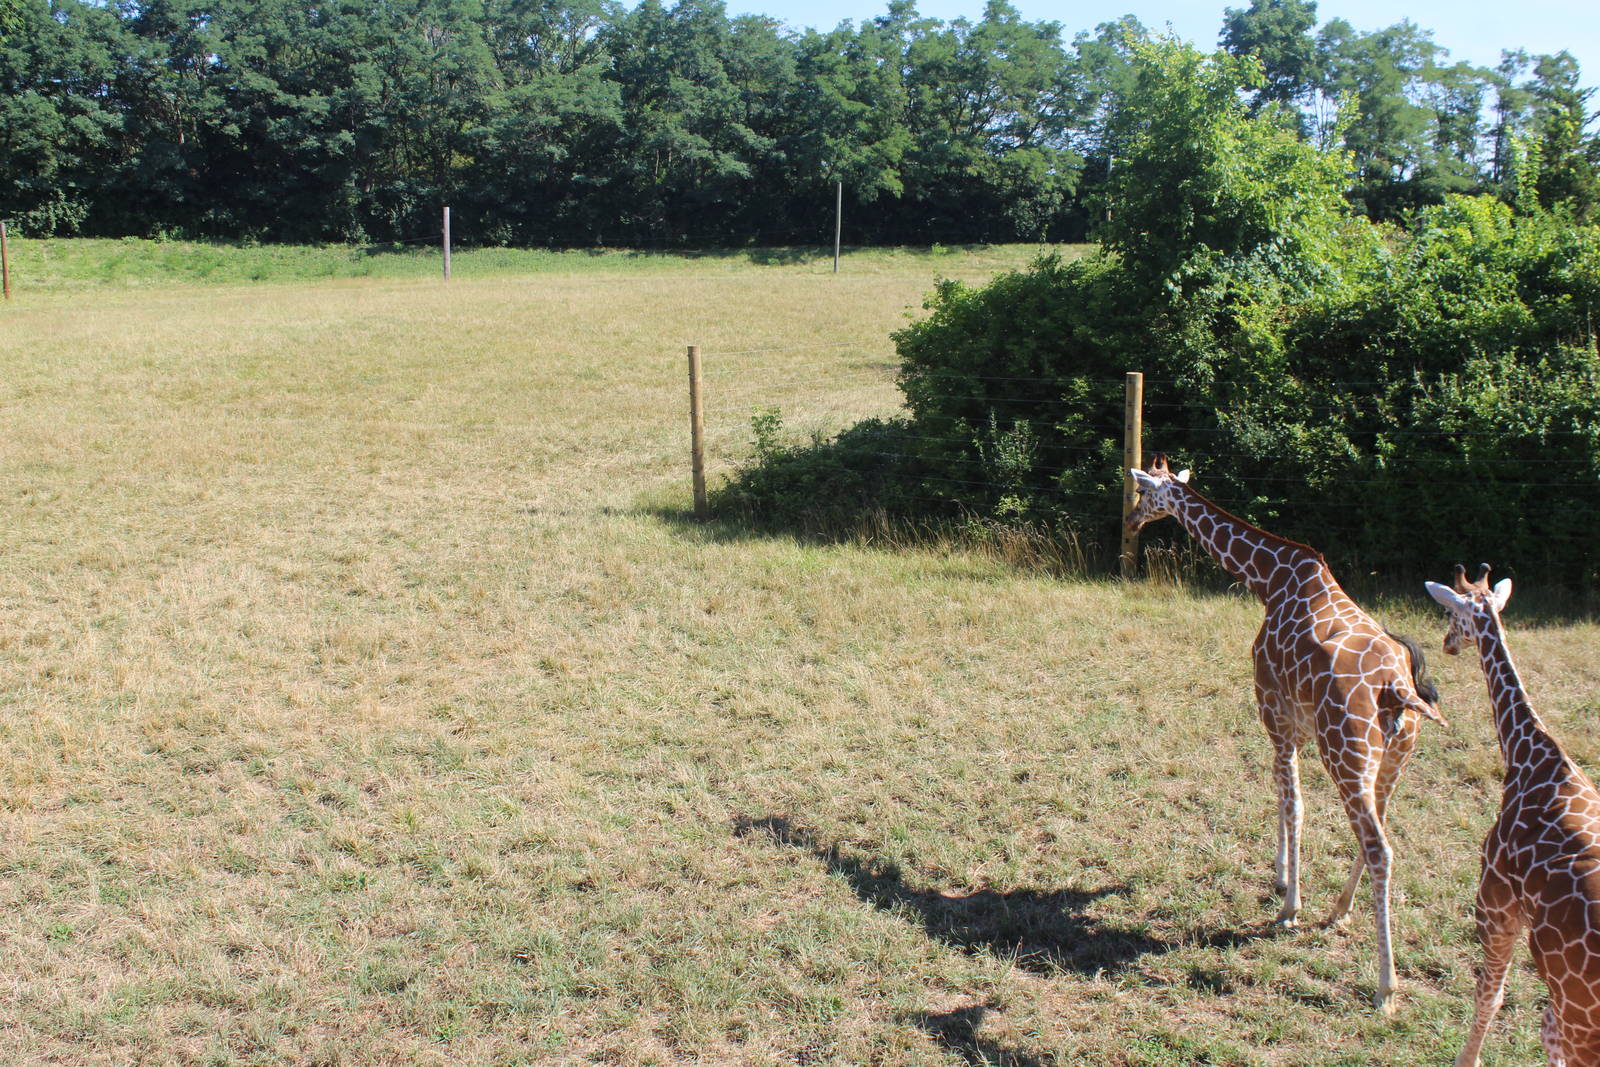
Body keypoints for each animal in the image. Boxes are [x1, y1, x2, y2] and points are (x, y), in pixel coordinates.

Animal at [1126, 454, 1445, 1013]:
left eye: (1145, 491)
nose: (1131, 520)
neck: (1269, 581)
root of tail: (1399, 689)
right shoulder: (1290, 719)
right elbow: (1281, 795)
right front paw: (1280, 879)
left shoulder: (1271, 707)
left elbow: (1292, 802)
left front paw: (1289, 904)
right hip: (1393, 759)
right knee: (1379, 832)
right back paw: (1338, 910)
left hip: (1346, 755)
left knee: (1379, 846)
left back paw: (1386, 986)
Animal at [1426, 564, 1600, 1067]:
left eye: (1453, 614)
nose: (1447, 644)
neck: (1531, 754)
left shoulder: (1495, 902)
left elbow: (1491, 994)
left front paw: (1466, 1060)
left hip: (1583, 1022)